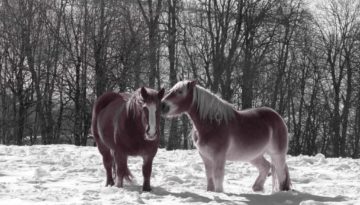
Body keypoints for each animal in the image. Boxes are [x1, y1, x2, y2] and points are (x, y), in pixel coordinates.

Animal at [162, 80, 292, 192]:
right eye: (171, 90)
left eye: (180, 92)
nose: (163, 106)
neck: (212, 123)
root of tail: (278, 117)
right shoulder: (205, 156)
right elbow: (209, 176)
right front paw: (210, 191)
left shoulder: (219, 156)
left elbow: (218, 175)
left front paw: (219, 192)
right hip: (253, 155)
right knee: (266, 166)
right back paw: (257, 187)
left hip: (277, 154)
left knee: (281, 173)